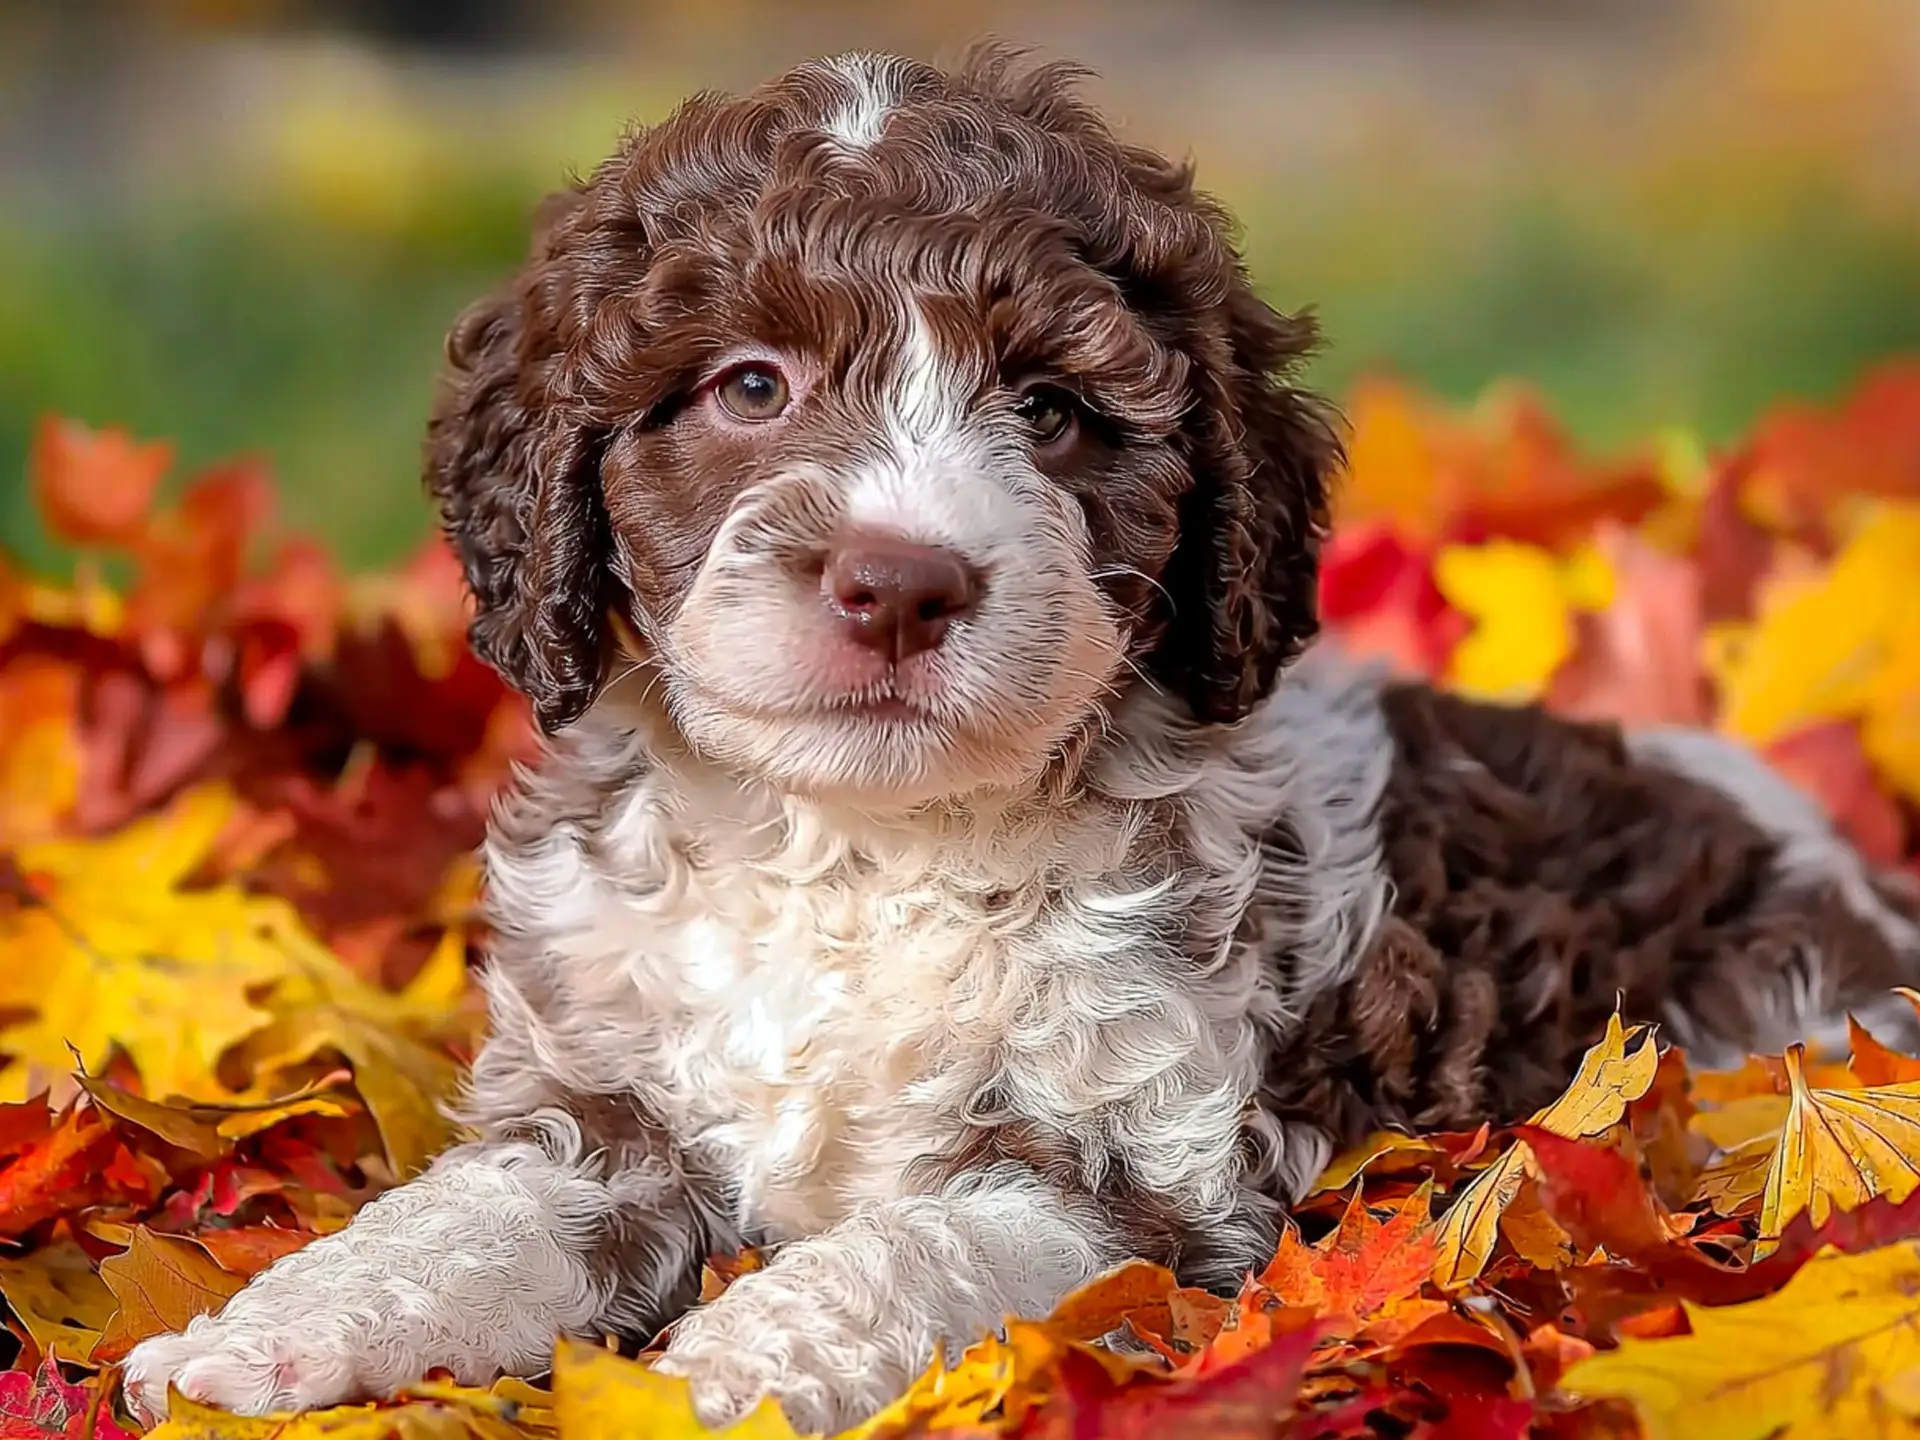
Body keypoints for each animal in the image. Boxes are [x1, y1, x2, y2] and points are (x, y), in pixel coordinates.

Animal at [120, 48, 1920, 1440]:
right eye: (750, 387)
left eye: (1050, 412)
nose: (901, 581)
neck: (863, 842)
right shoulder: (605, 1099)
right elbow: (474, 1207)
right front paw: (265, 1340)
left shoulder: (1135, 1174)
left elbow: (905, 1257)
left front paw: (715, 1369)